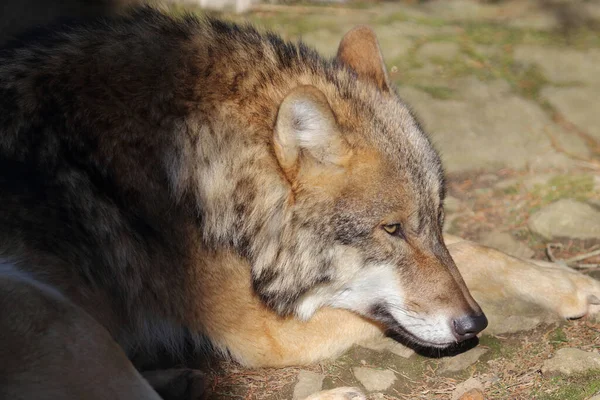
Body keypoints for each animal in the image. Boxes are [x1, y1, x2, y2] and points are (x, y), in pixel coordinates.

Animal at [0, 3, 596, 400]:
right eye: (391, 230)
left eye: (435, 218)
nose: (474, 324)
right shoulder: (268, 333)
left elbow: (472, 250)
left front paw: (568, 282)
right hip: (58, 316)